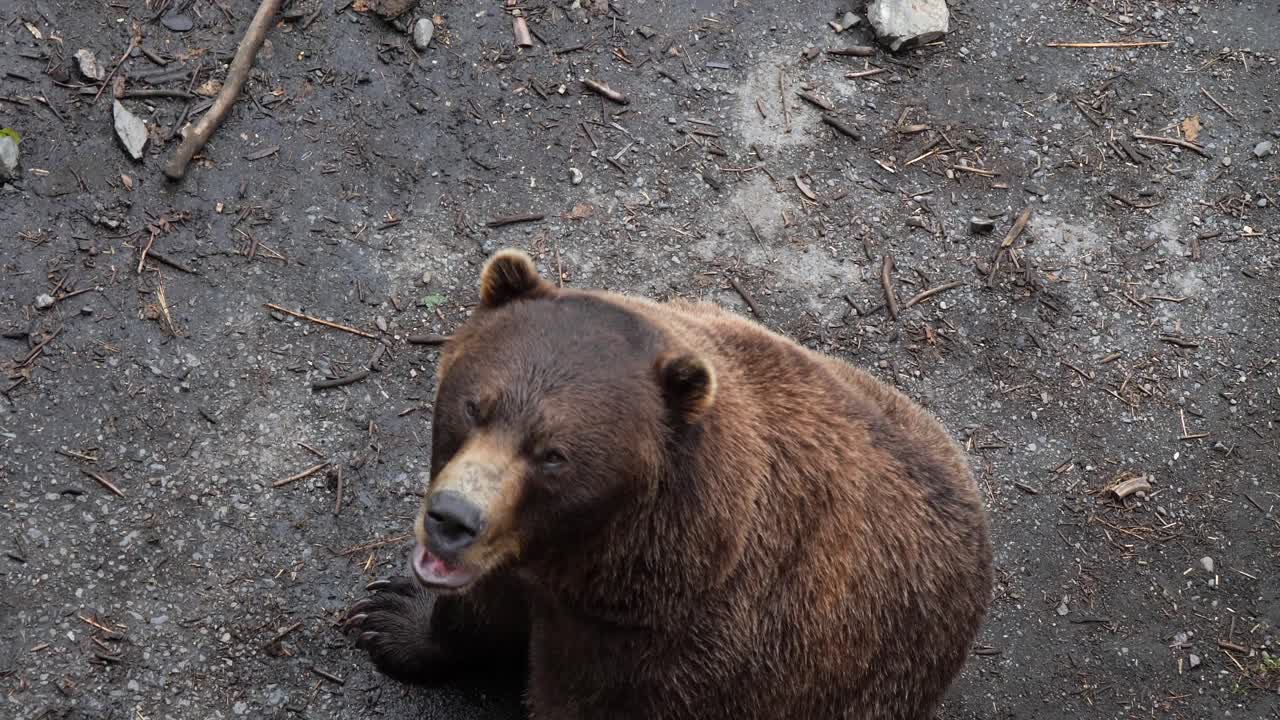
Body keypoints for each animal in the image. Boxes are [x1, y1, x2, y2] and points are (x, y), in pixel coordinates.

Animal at [344, 248, 994, 719]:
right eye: (474, 405)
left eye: (553, 455)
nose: (453, 519)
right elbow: (477, 610)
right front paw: (389, 615)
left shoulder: (669, 658)